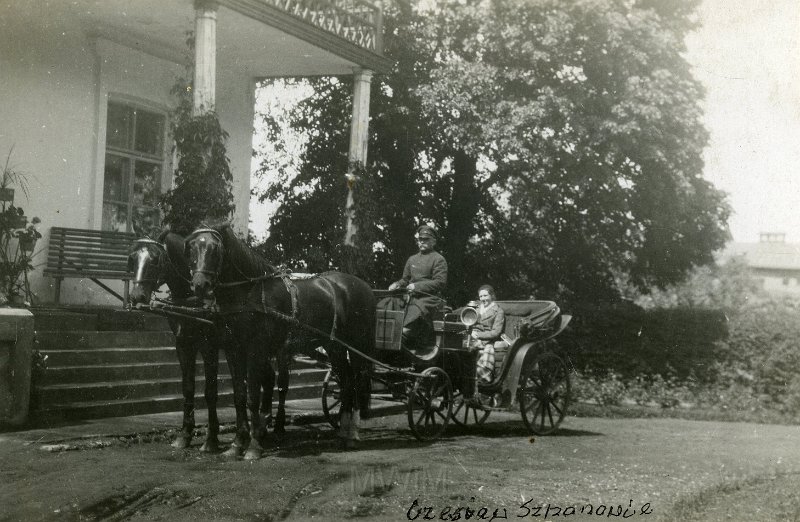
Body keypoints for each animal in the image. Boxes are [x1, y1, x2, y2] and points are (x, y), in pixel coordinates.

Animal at [127, 230, 250, 452]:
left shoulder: (209, 347)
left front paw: (211, 439)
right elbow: (188, 388)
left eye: (155, 259)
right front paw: (185, 434)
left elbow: (210, 391)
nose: (137, 296)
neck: (192, 300)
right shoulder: (183, 344)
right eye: (132, 259)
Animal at [186, 223, 376, 456]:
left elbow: (253, 396)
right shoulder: (234, 349)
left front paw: (254, 446)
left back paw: (353, 434)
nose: (200, 285)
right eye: (192, 247)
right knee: (347, 381)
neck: (249, 292)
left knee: (356, 381)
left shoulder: (257, 349)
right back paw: (343, 433)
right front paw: (237, 444)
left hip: (356, 346)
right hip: (335, 346)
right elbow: (239, 395)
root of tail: (363, 285)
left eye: (216, 248)